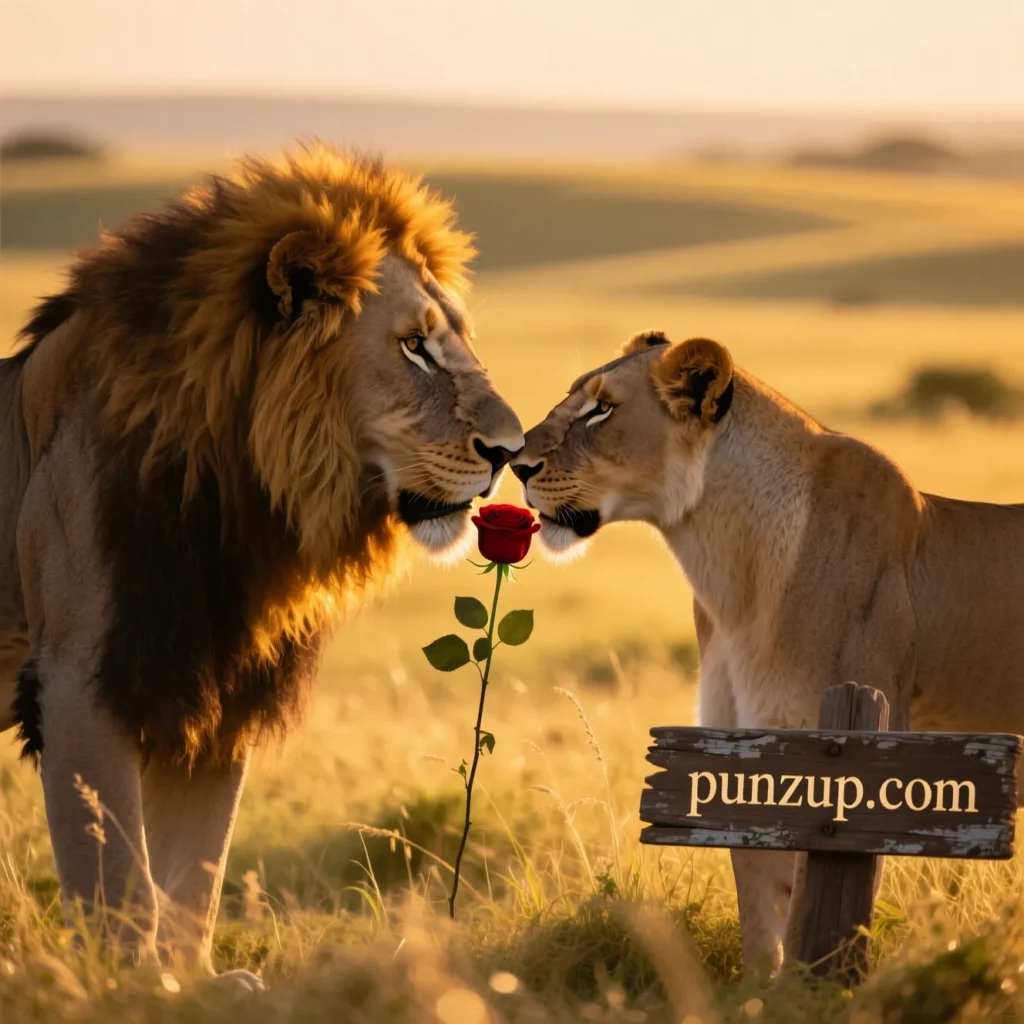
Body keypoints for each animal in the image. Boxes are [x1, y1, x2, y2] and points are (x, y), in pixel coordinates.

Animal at [0, 145, 524, 989]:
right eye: (413, 346)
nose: (513, 452)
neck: (239, 500)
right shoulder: (82, 678)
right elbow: (116, 876)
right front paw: (127, 985)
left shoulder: (215, 685)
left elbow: (196, 869)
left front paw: (190, 984)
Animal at [512, 330, 1024, 974]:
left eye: (602, 409)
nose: (514, 463)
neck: (733, 578)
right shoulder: (743, 745)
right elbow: (759, 907)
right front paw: (758, 987)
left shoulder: (842, 754)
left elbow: (809, 897)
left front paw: (805, 984)